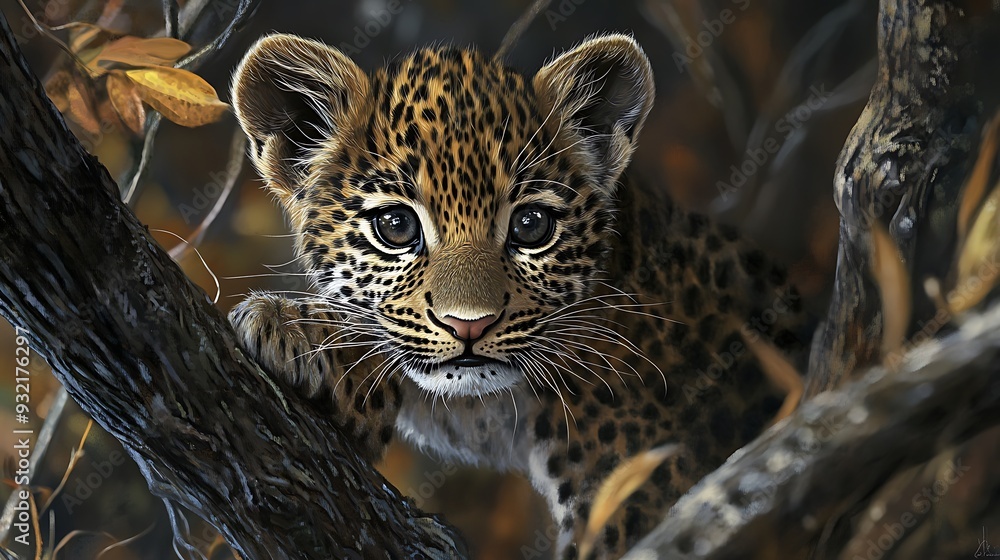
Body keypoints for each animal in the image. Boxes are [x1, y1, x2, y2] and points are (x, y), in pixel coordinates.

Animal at [227, 32, 806, 559]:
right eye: (395, 226)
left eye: (531, 225)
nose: (469, 325)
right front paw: (297, 329)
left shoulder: (643, 491)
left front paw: (284, 322)